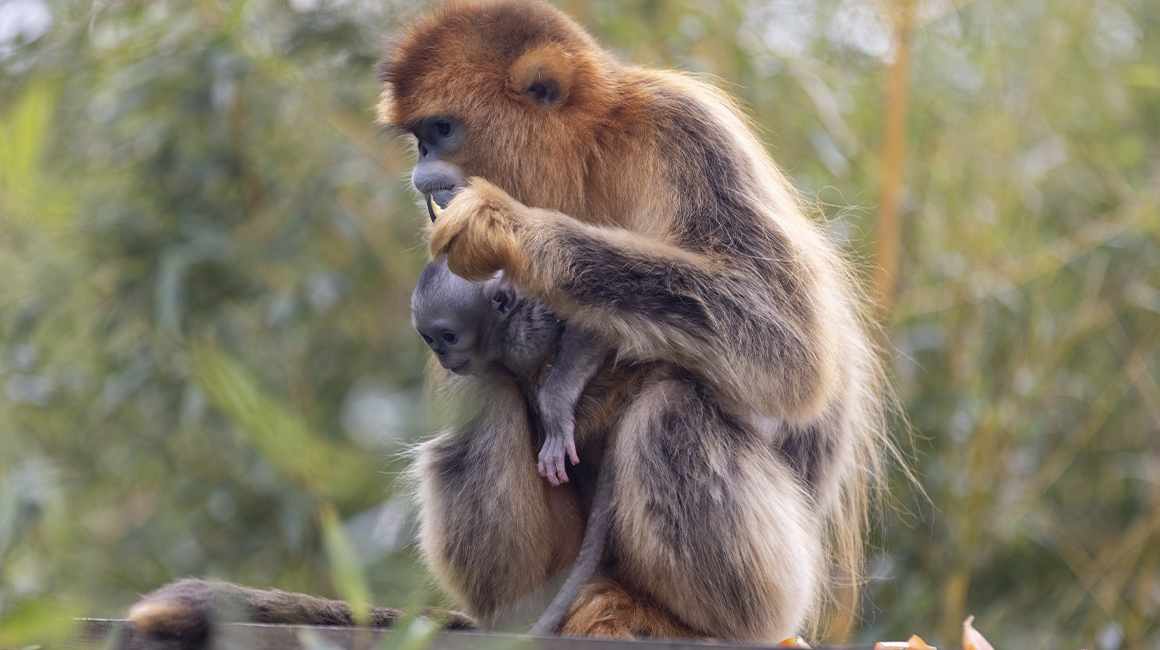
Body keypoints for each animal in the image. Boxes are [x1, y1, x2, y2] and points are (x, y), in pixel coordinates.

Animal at [125, 1, 888, 644]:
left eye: (439, 131)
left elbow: (788, 345)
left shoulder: (683, 125)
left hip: (777, 582)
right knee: (483, 398)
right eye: (416, 139)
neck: (585, 159)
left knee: (672, 407)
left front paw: (510, 230)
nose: (421, 169)